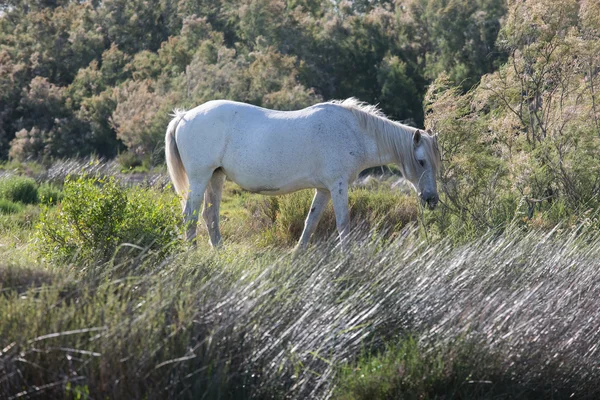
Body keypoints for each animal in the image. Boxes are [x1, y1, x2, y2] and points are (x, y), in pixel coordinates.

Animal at [164, 98, 440, 247]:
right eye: (421, 161)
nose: (432, 199)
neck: (353, 131)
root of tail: (184, 116)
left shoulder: (324, 190)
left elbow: (310, 223)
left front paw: (298, 254)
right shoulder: (338, 186)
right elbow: (343, 224)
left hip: (216, 177)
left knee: (210, 217)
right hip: (200, 178)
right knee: (190, 217)